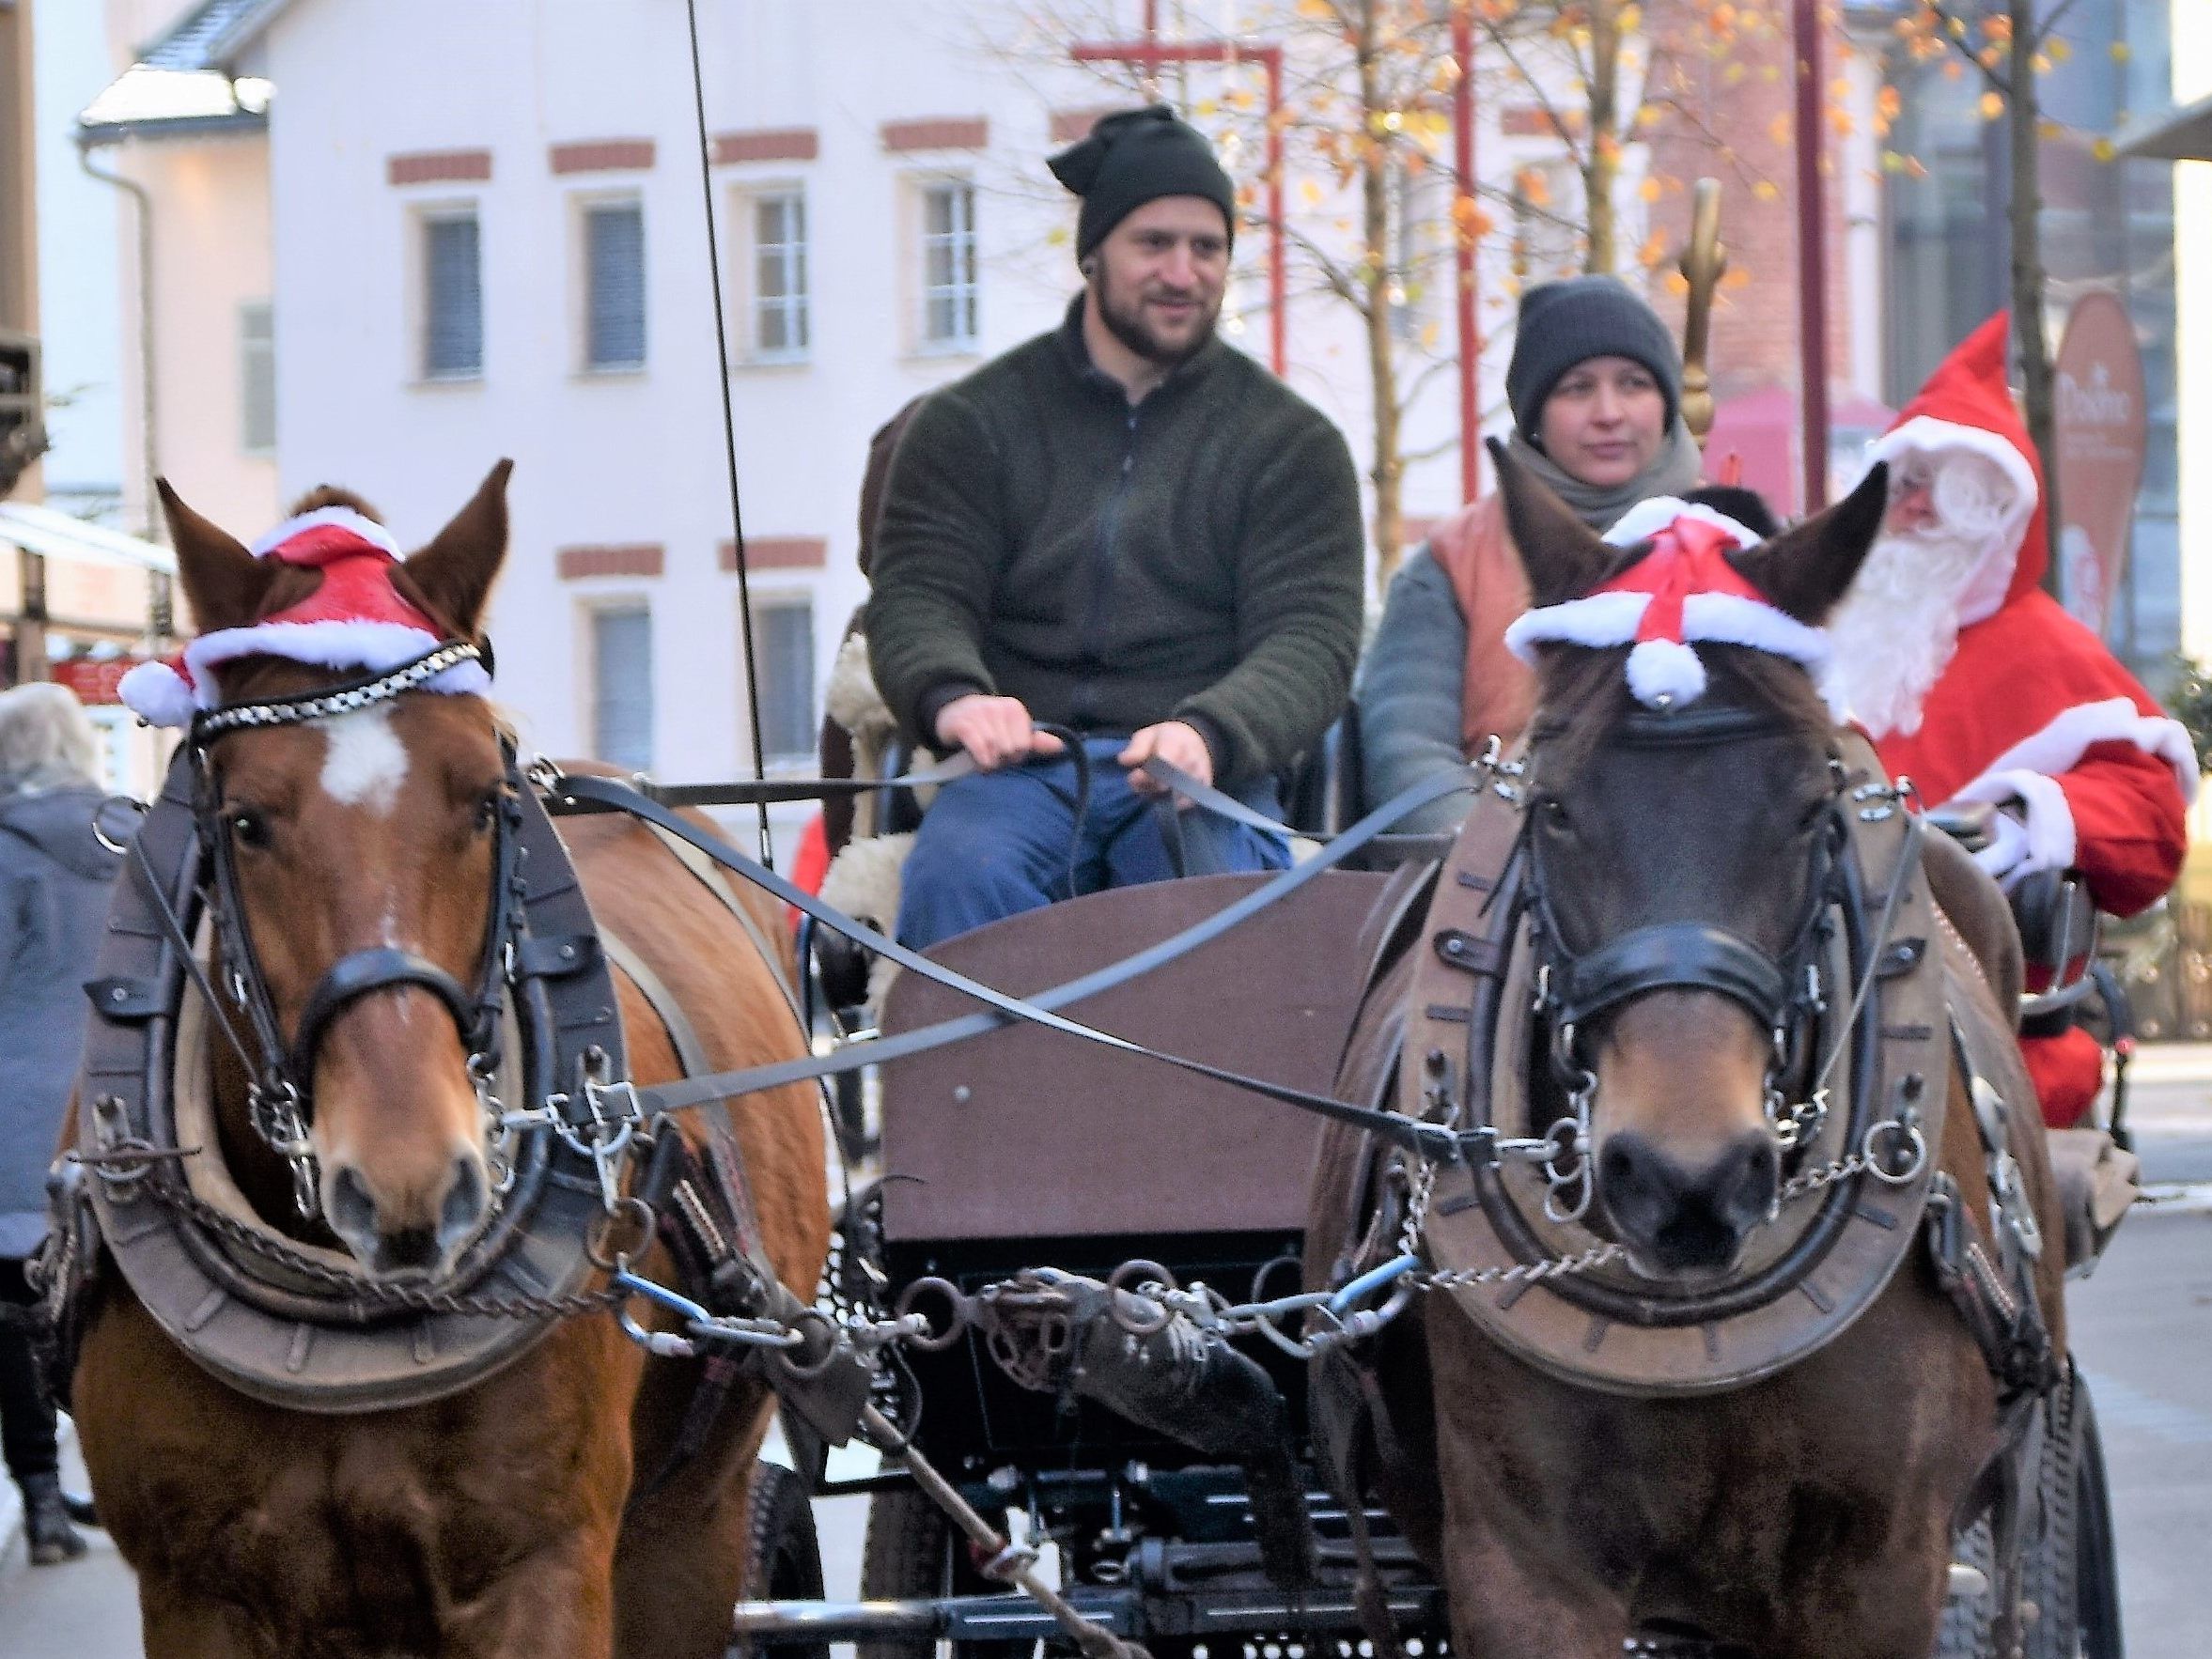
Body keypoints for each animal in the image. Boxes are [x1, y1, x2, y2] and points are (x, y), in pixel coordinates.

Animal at [70, 471, 832, 1659]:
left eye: (485, 799)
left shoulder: (541, 1569)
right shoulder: (196, 1592)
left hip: (690, 1532)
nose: (408, 1183)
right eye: (243, 821)